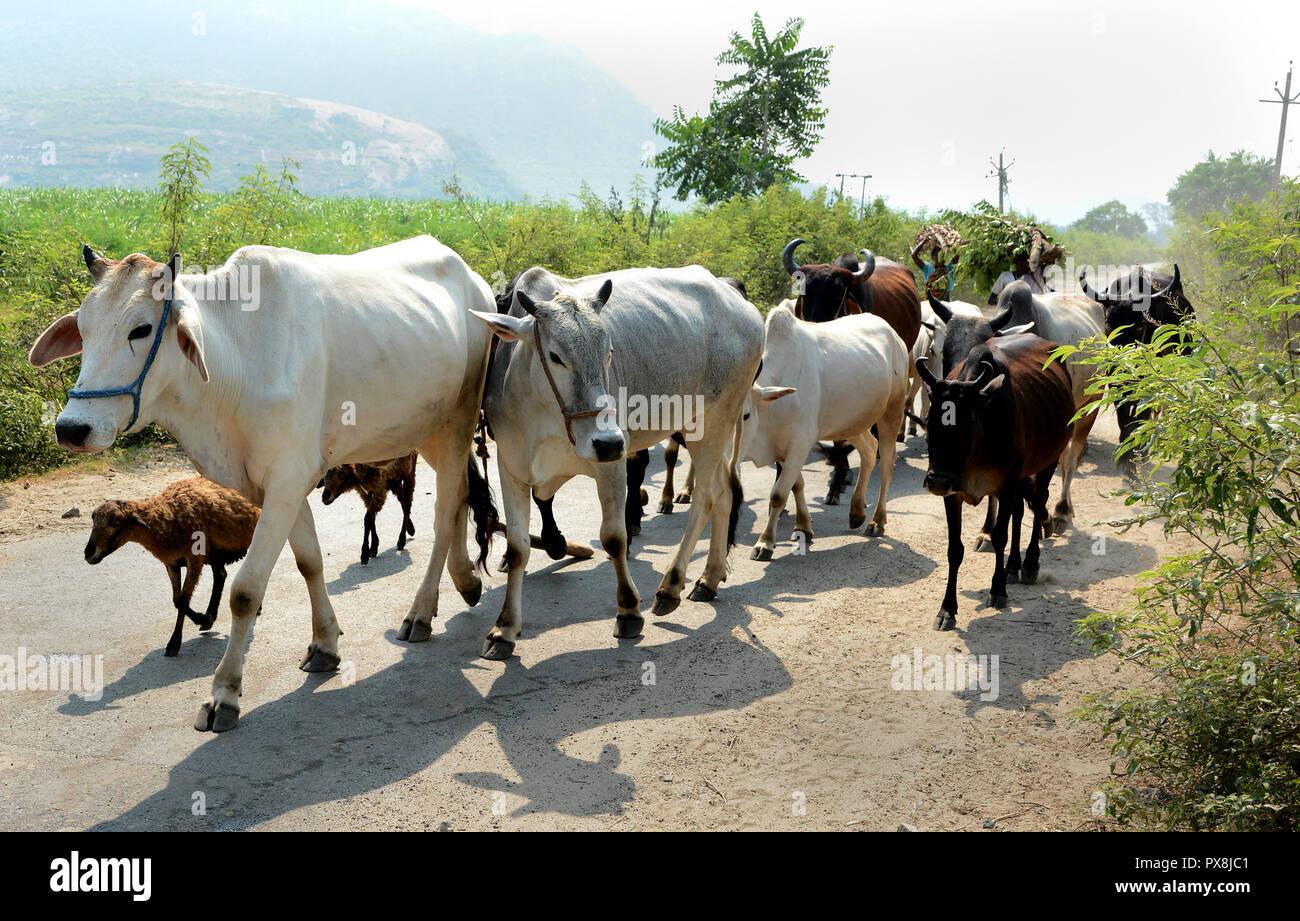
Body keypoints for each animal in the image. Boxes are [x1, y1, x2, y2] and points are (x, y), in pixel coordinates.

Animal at [85, 478, 260, 658]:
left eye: (116, 522)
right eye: (93, 520)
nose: (88, 552)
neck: (167, 517)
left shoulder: (194, 559)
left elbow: (183, 600)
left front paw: (174, 642)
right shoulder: (171, 562)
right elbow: (177, 599)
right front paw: (203, 619)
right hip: (215, 553)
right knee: (221, 575)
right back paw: (211, 614)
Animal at [738, 305, 909, 556]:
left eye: (746, 415)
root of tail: (893, 334)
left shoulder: (800, 443)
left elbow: (778, 494)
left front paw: (765, 542)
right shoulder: (785, 448)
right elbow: (796, 485)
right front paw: (803, 527)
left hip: (892, 411)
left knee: (887, 462)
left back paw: (877, 521)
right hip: (851, 422)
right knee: (869, 450)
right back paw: (856, 512)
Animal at [909, 333, 1071, 632]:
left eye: (968, 423)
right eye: (929, 420)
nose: (936, 480)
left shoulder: (1005, 486)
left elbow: (999, 536)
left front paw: (998, 591)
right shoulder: (953, 494)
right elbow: (955, 549)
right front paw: (947, 610)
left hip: (1049, 460)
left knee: (1037, 502)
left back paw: (1029, 565)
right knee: (1020, 511)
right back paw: (1013, 566)